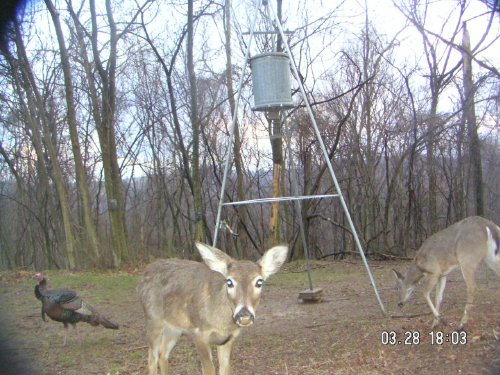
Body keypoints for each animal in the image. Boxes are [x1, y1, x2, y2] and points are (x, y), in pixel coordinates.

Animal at [137, 242, 288, 374]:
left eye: (259, 282)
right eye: (229, 281)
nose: (244, 315)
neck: (222, 323)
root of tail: (145, 272)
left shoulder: (228, 339)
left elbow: (226, 369)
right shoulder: (199, 333)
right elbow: (209, 370)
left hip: (174, 328)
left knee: (163, 354)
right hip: (153, 320)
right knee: (151, 357)